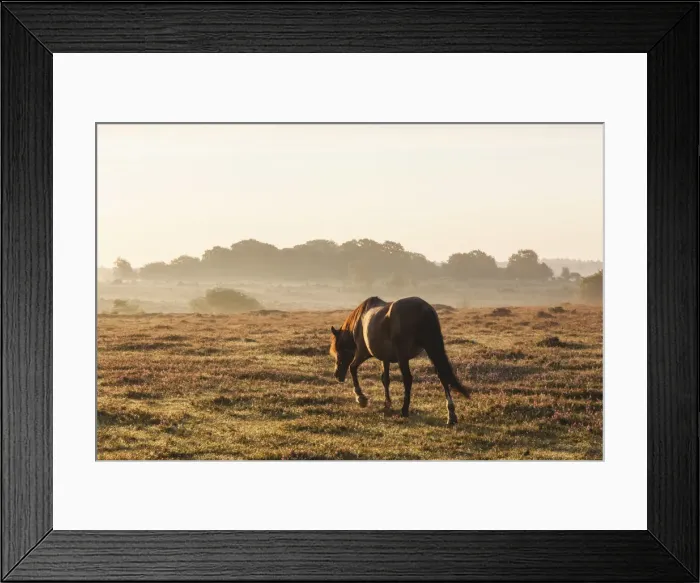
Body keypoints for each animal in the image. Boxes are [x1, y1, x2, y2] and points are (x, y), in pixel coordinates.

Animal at [329, 296, 470, 425]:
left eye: (337, 351)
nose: (337, 375)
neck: (359, 322)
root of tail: (424, 309)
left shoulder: (363, 353)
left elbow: (353, 368)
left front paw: (361, 398)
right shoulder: (385, 358)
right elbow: (385, 379)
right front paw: (387, 404)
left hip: (403, 356)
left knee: (408, 378)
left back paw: (405, 410)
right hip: (431, 348)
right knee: (442, 375)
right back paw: (451, 415)